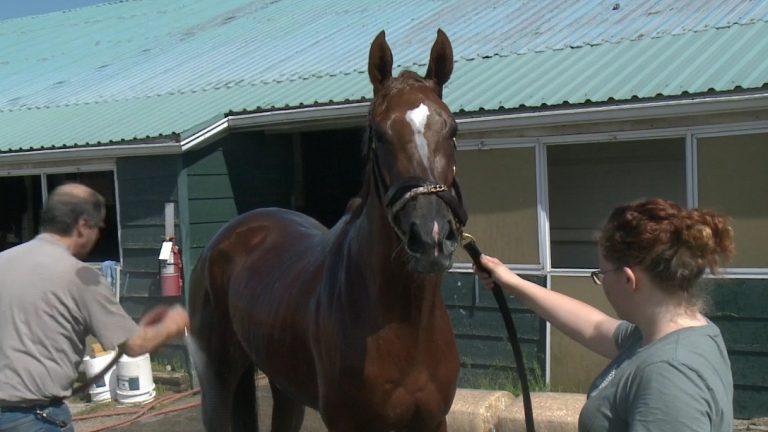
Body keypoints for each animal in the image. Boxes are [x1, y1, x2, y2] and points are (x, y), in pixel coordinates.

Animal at [190, 29, 468, 432]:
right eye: (378, 134)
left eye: (452, 129)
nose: (430, 236)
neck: (405, 327)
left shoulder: (432, 421)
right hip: (217, 379)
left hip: (284, 386)